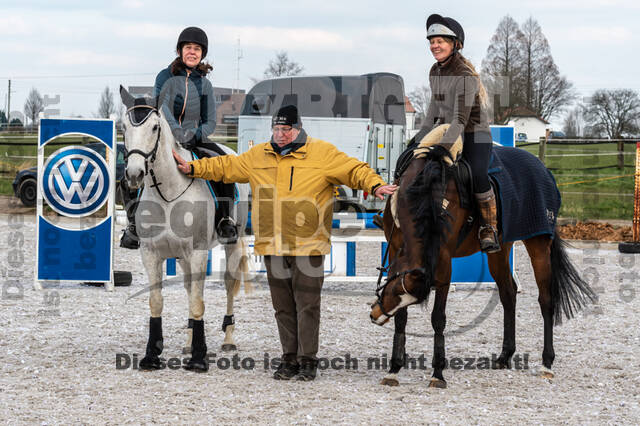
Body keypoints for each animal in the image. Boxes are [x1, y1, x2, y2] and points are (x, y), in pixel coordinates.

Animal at [121, 87, 251, 372]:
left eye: (155, 127)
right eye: (123, 127)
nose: (134, 174)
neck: (168, 192)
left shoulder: (198, 253)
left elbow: (198, 302)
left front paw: (200, 359)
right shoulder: (151, 254)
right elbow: (157, 302)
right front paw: (152, 355)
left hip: (232, 244)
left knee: (228, 285)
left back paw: (228, 339)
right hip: (181, 257)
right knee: (190, 287)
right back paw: (189, 342)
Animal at [368, 145, 596, 388]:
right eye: (394, 291)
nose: (375, 315)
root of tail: (541, 167)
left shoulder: (443, 261)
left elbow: (438, 318)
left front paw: (437, 374)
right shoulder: (395, 248)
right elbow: (402, 317)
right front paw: (394, 369)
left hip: (539, 244)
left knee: (546, 300)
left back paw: (547, 364)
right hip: (500, 250)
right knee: (508, 294)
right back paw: (505, 356)